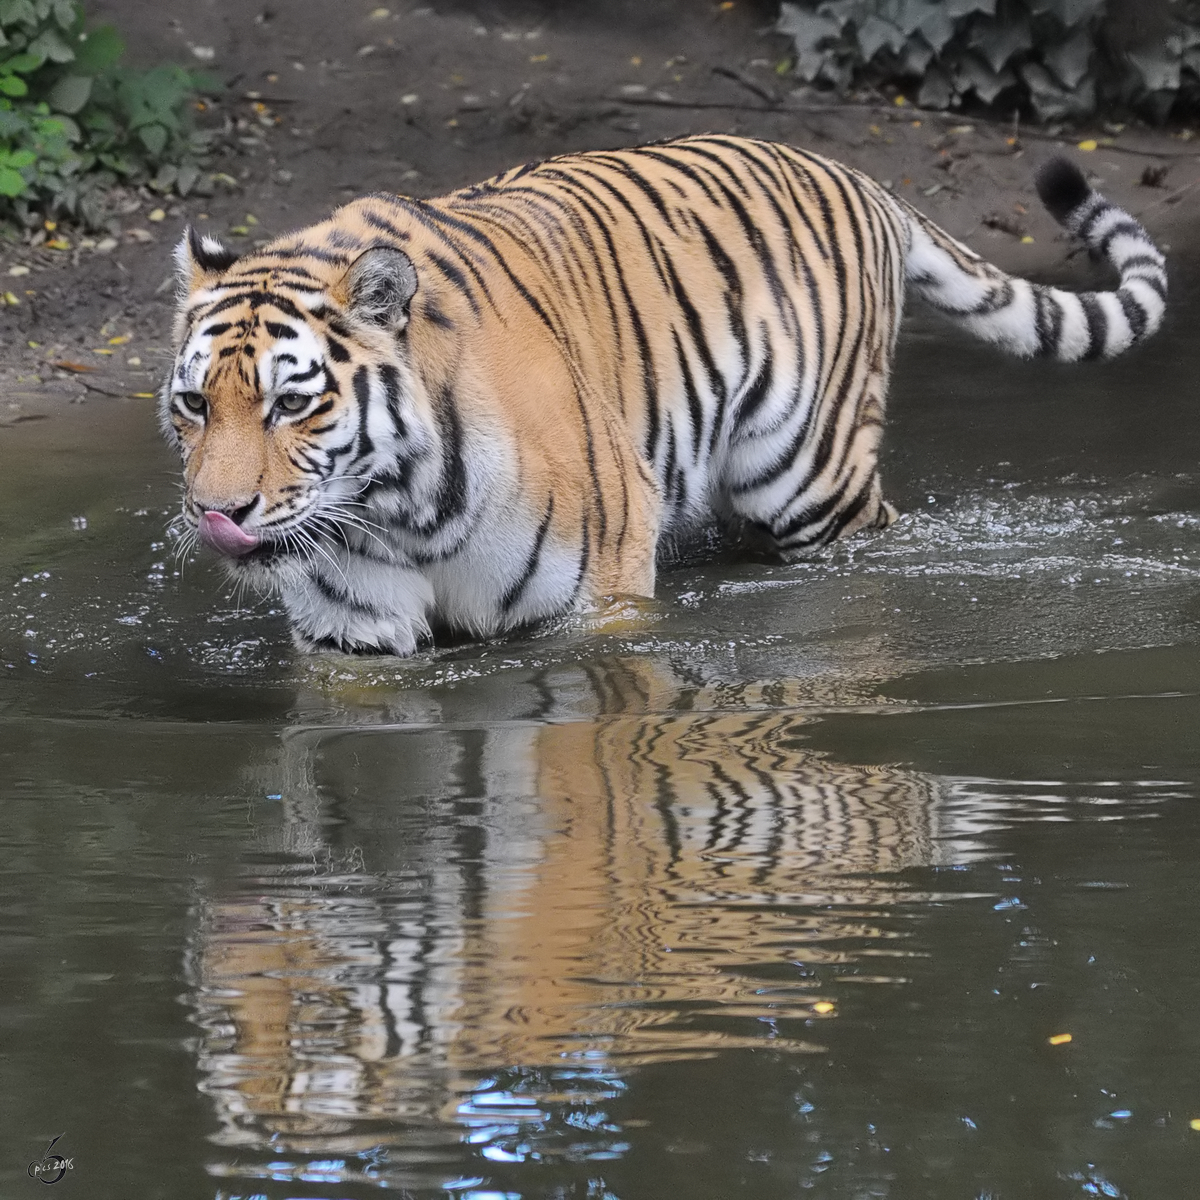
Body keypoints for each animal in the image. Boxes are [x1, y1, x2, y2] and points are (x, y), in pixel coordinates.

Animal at [164, 139, 1166, 657]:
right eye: (194, 407)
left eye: (291, 405)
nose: (218, 512)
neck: (396, 508)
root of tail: (860, 175)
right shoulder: (354, 640)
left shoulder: (597, 608)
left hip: (813, 482)